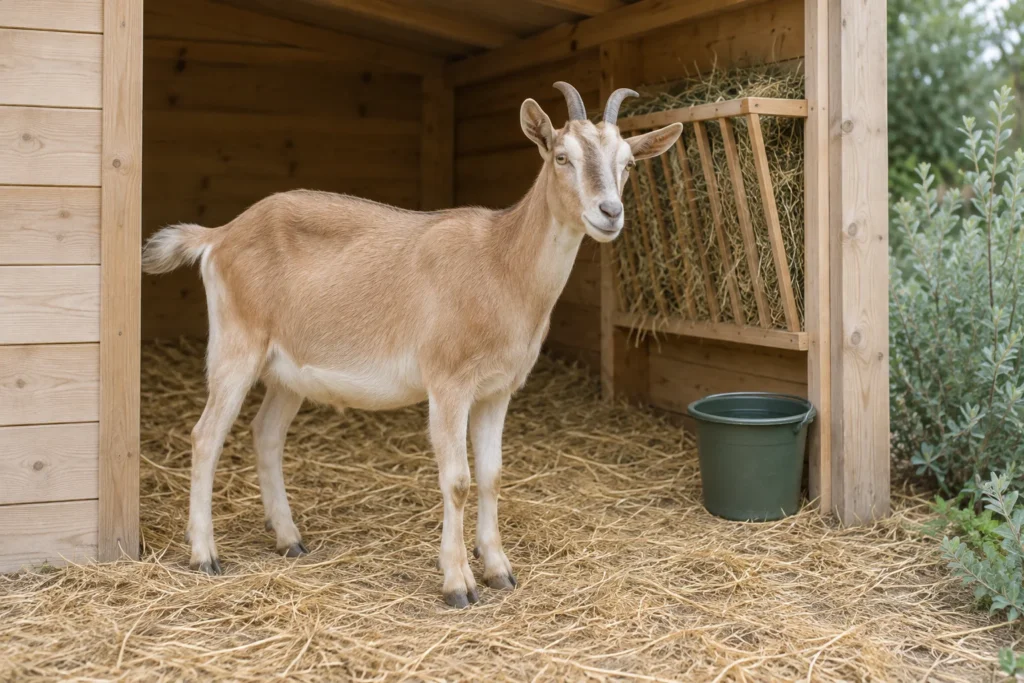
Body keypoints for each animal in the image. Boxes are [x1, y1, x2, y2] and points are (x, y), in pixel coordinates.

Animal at [142, 82, 682, 607]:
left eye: (628, 163)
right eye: (561, 155)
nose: (609, 212)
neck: (501, 264)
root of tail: (220, 235)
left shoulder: (497, 390)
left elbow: (492, 475)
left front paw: (500, 571)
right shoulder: (448, 382)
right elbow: (458, 480)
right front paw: (458, 584)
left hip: (289, 369)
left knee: (266, 434)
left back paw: (290, 539)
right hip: (237, 345)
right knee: (206, 435)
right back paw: (205, 555)